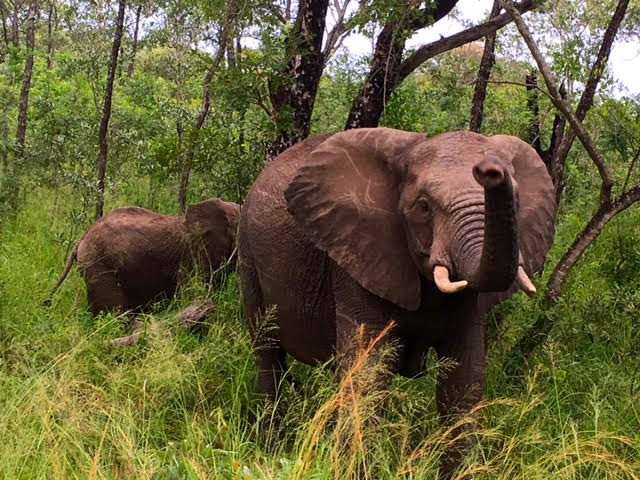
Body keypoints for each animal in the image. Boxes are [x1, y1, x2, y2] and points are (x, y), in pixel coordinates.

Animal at [238, 126, 556, 476]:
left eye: (517, 200)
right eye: (424, 207)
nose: (489, 169)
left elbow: (464, 382)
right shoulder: (356, 256)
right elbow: (368, 375)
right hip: (247, 253)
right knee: (267, 352)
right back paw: (271, 447)